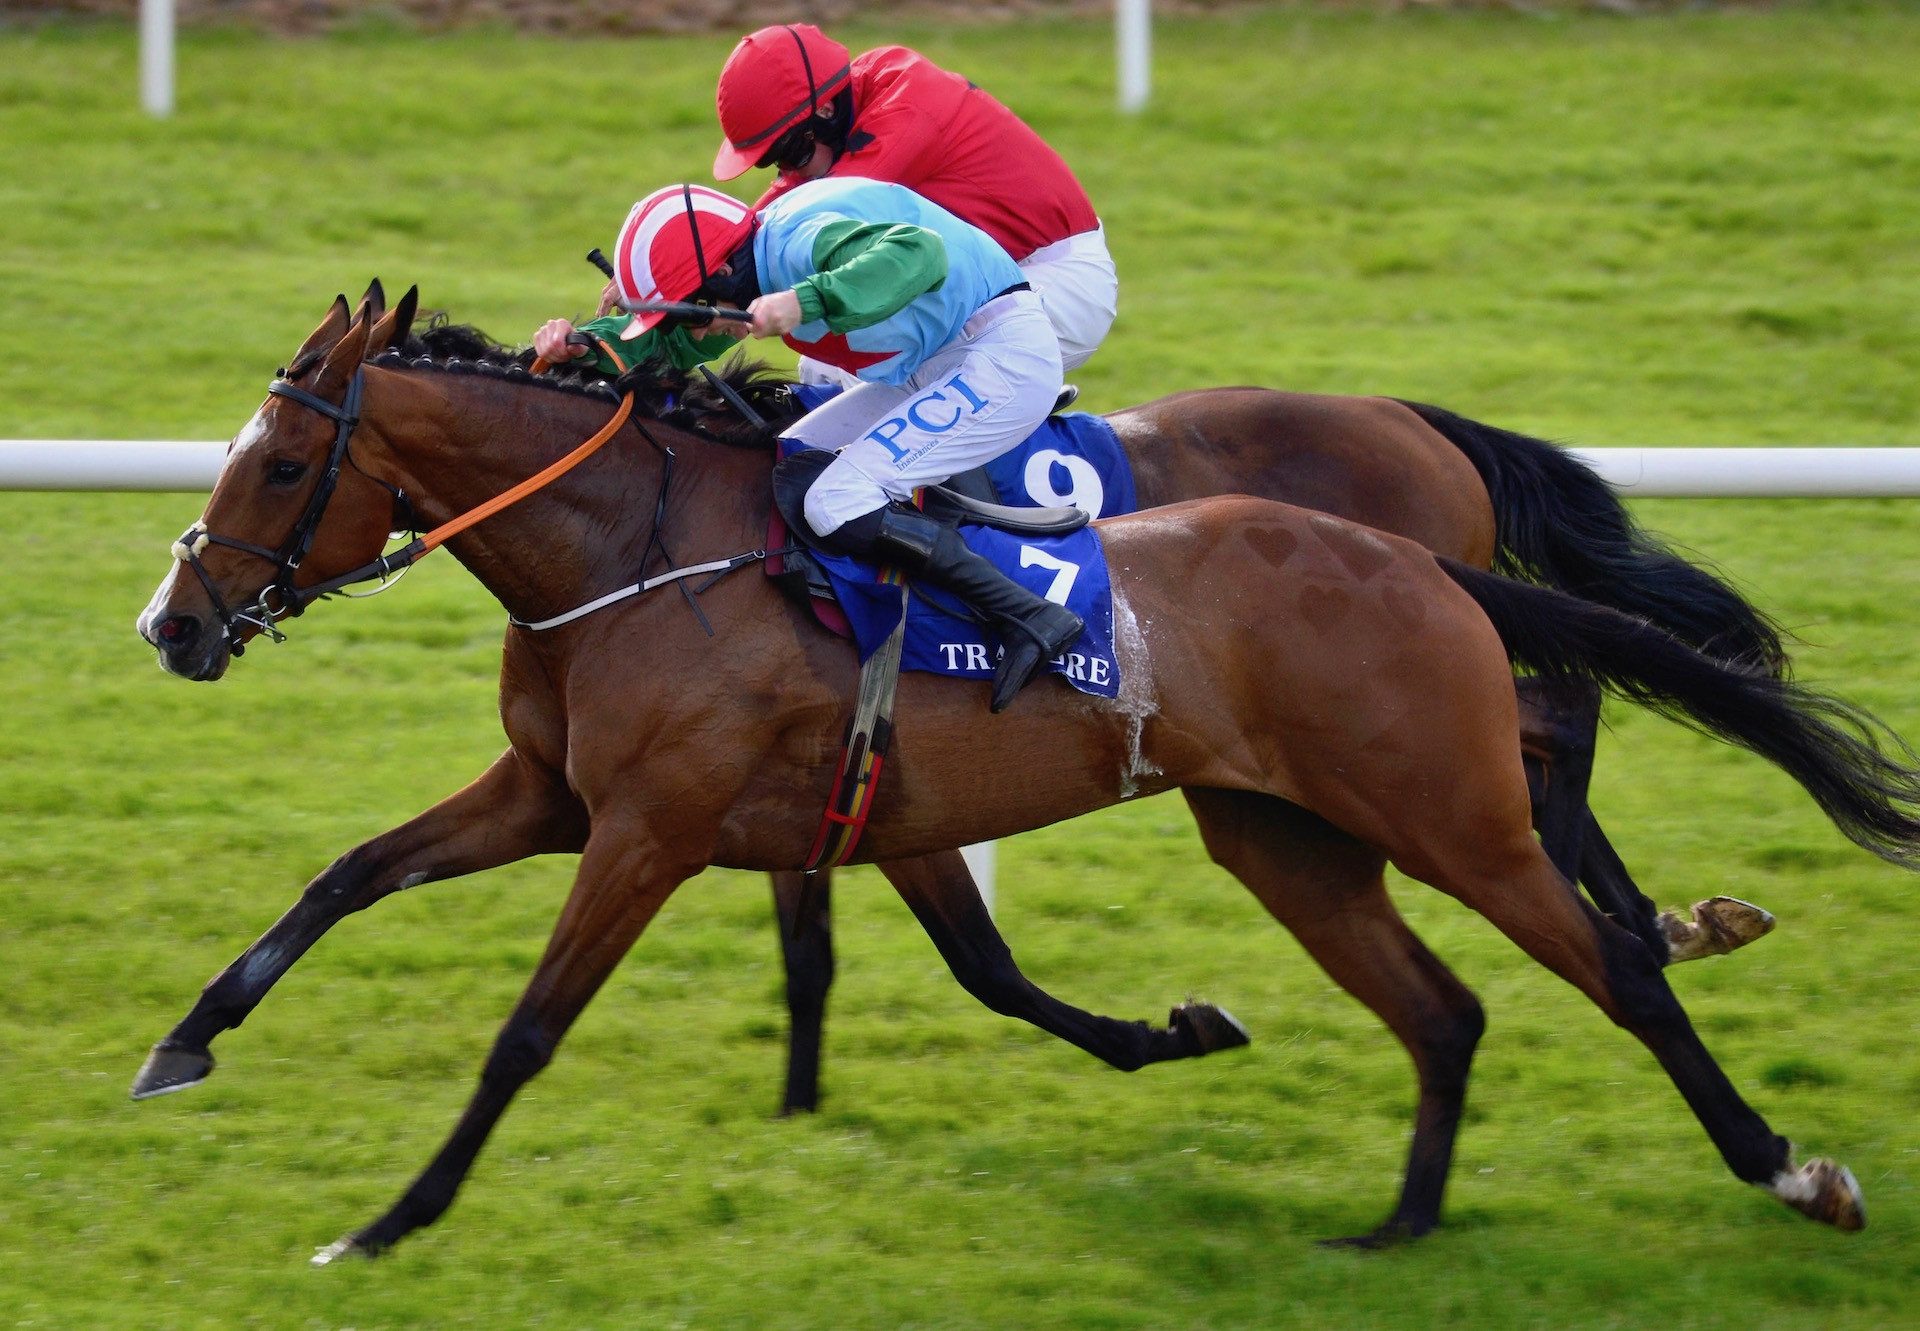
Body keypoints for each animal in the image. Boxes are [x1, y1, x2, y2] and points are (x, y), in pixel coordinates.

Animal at [135, 290, 1904, 1259]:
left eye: (279, 464)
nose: (176, 623)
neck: (642, 551)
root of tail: (1408, 507)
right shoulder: (591, 797)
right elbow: (345, 873)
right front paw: (182, 1041)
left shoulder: (649, 825)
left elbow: (525, 1032)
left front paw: (388, 1217)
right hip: (1288, 828)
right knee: (1459, 969)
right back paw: (1413, 1211)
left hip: (1428, 797)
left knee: (1586, 884)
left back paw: (1778, 1147)